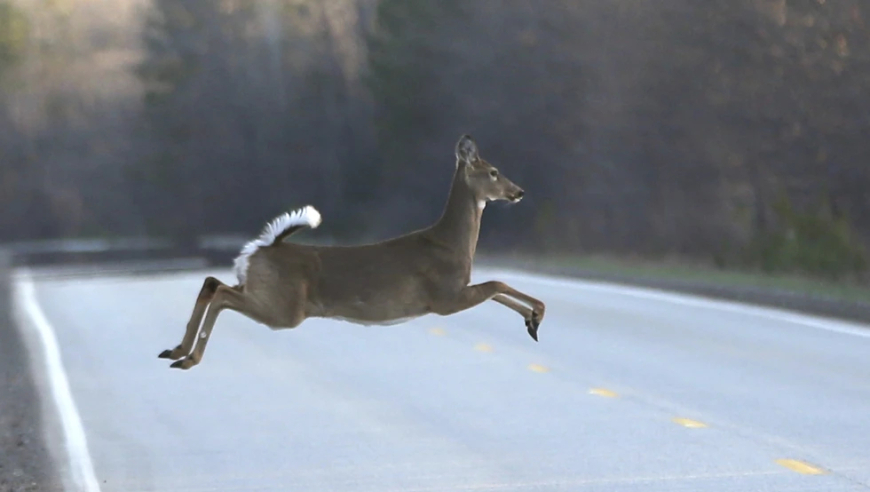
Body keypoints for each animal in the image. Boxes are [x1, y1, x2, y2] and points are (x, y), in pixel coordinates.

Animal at [160, 135, 544, 368]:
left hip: (262, 290)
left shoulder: (456, 292)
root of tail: (263, 248)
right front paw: (537, 316)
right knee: (222, 294)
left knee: (213, 283)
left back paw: (175, 350)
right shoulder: (444, 297)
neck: (451, 243)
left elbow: (497, 289)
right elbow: (497, 284)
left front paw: (531, 322)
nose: (520, 192)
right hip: (284, 308)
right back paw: (188, 358)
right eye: (493, 171)